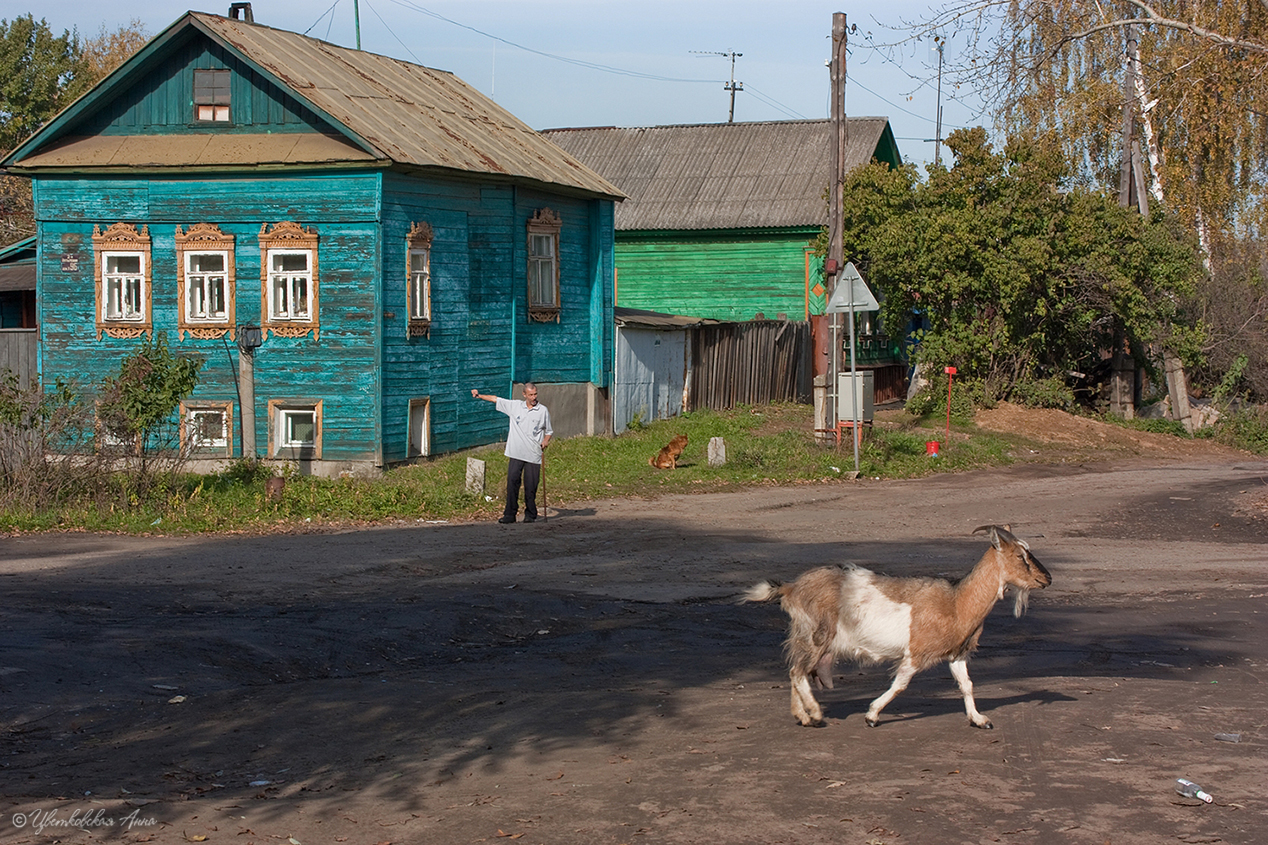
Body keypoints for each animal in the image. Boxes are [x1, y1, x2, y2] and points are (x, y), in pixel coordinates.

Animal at [740, 522, 1049, 725]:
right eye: (1020, 556)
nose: (1047, 578)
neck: (957, 602)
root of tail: (791, 588)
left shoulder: (956, 654)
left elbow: (967, 684)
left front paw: (979, 719)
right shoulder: (916, 653)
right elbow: (900, 685)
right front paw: (872, 715)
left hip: (805, 636)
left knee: (796, 670)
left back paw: (802, 716)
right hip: (818, 634)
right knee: (797, 671)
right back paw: (815, 713)